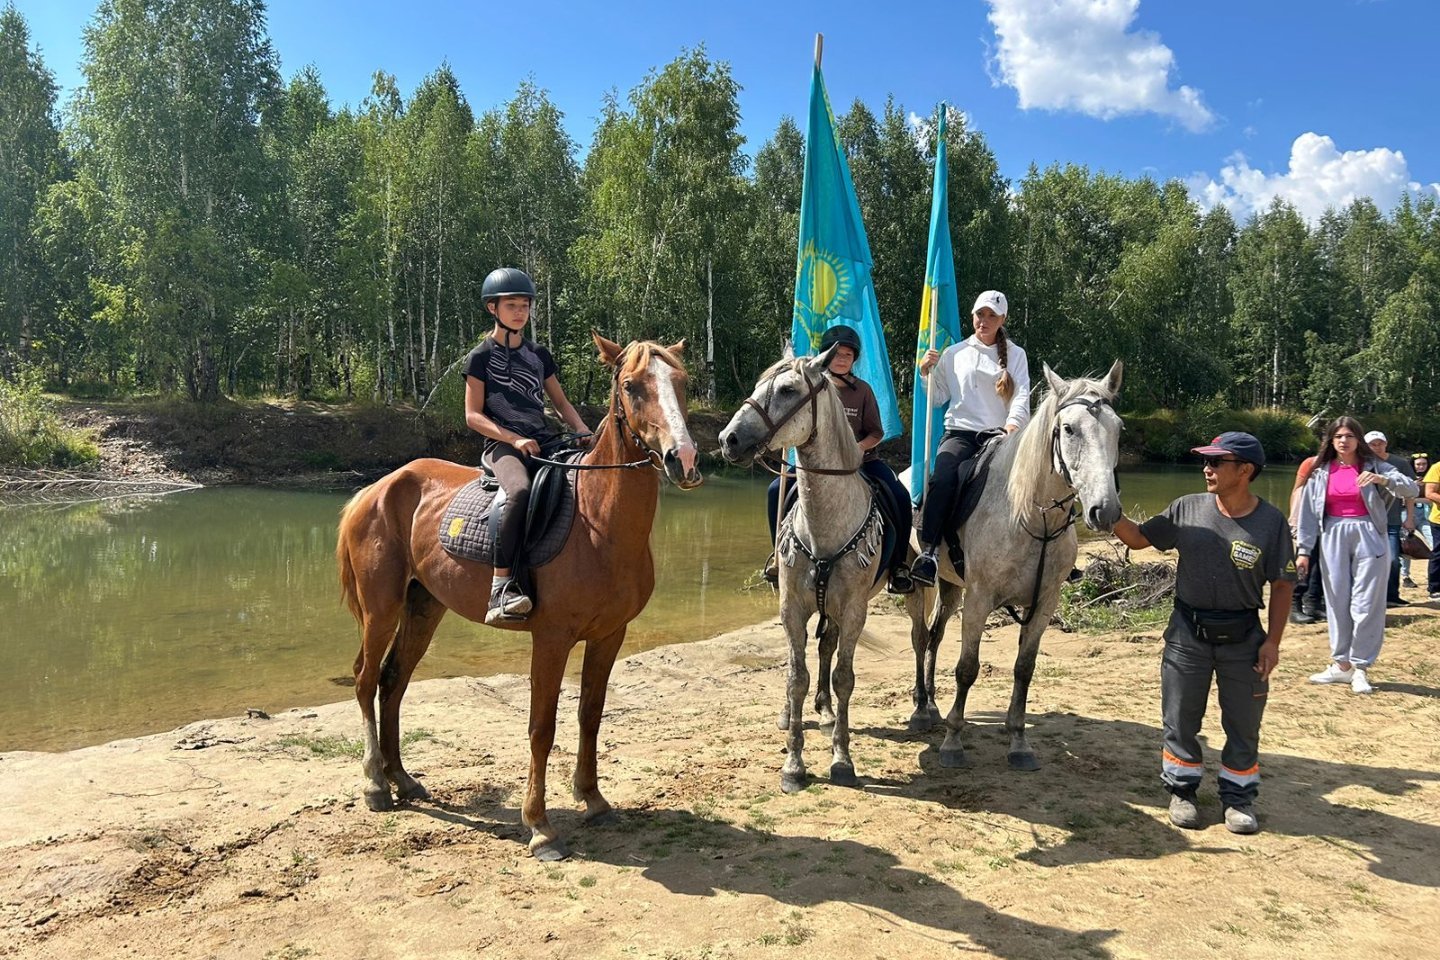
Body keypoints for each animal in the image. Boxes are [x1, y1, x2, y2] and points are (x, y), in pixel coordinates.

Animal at [332, 333, 702, 857]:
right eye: (631, 385)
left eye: (682, 381)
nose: (683, 459)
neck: (597, 520)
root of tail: (376, 489)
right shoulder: (551, 639)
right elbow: (541, 727)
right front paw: (539, 825)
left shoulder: (609, 635)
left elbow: (590, 715)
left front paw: (593, 799)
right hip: (380, 610)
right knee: (366, 679)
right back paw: (375, 785)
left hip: (424, 608)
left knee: (393, 681)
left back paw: (402, 779)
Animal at [720, 345, 887, 794]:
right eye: (758, 385)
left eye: (788, 390)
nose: (728, 440)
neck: (825, 524)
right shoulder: (791, 607)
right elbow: (797, 677)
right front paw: (793, 765)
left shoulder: (854, 611)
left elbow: (844, 677)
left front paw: (842, 758)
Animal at [910, 359, 1123, 771]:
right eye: (1069, 429)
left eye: (1118, 428)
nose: (1104, 511)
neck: (1028, 516)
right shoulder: (979, 600)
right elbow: (967, 668)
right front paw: (953, 743)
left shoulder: (1043, 603)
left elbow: (1025, 668)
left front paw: (1019, 742)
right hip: (918, 586)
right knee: (920, 637)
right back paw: (919, 709)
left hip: (950, 586)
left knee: (935, 635)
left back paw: (930, 705)